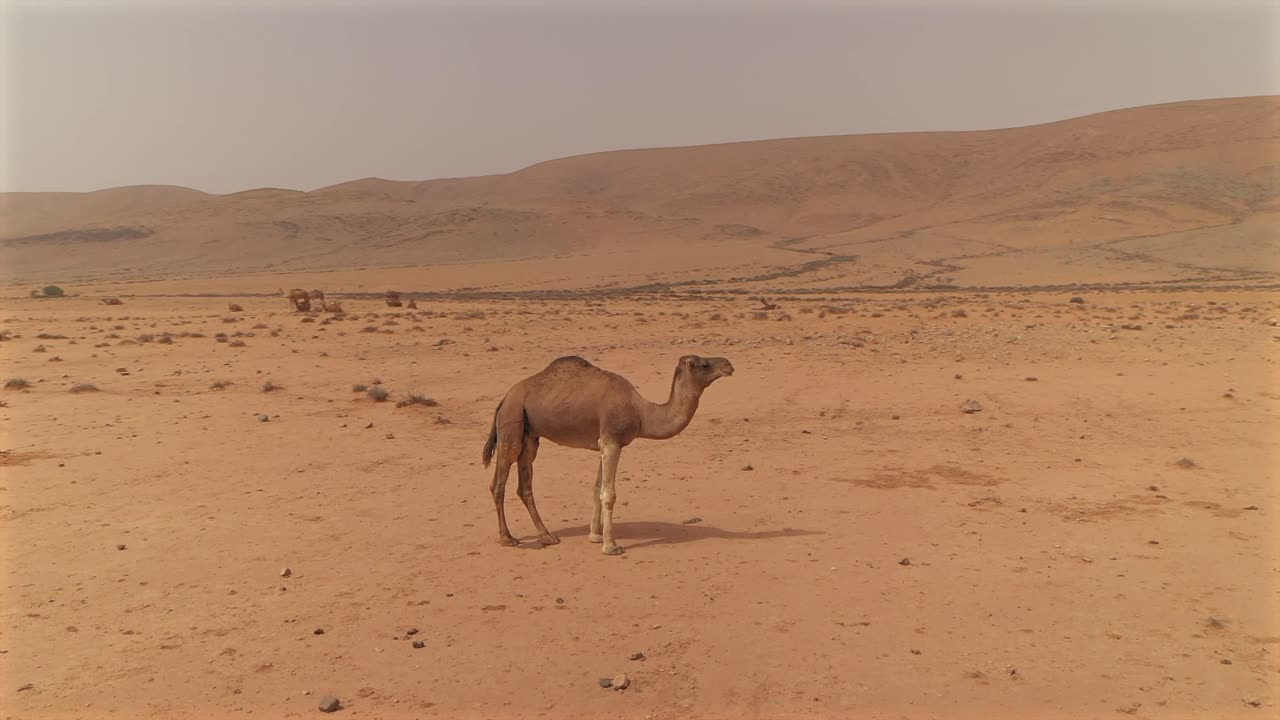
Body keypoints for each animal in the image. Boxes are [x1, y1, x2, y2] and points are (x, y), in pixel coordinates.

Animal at [482, 354, 734, 555]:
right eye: (702, 364)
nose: (728, 364)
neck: (641, 413)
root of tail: (504, 399)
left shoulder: (604, 444)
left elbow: (596, 488)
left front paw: (595, 536)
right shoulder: (612, 441)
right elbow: (608, 494)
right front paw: (610, 546)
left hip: (530, 435)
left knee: (524, 485)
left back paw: (547, 536)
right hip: (512, 422)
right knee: (499, 483)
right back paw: (508, 538)